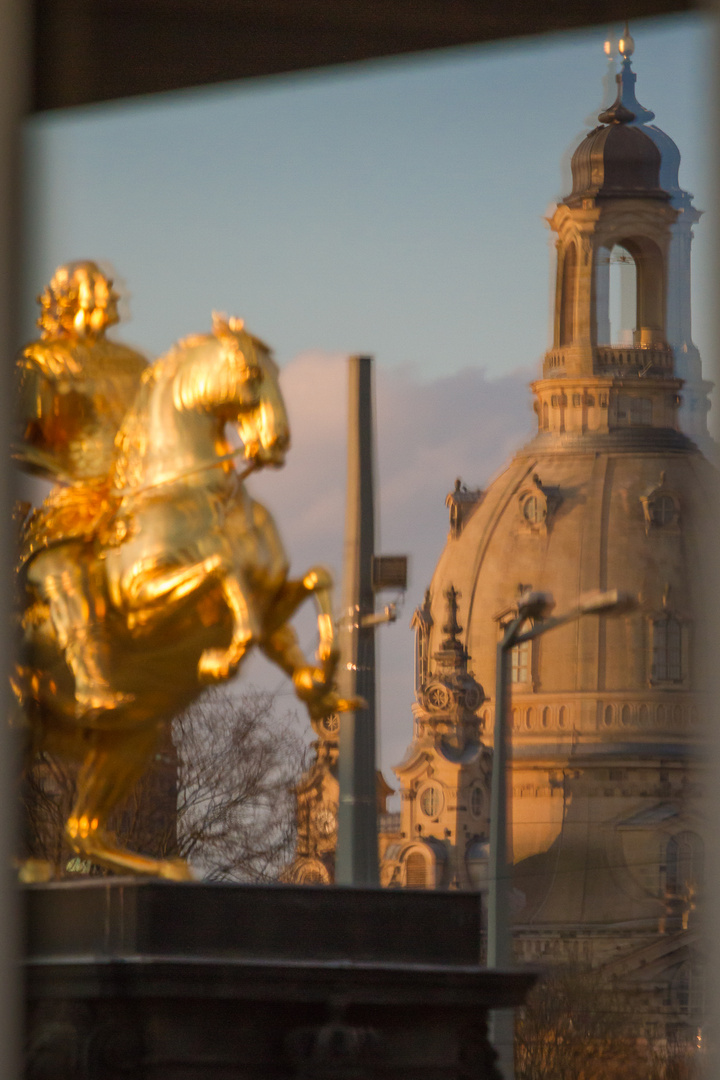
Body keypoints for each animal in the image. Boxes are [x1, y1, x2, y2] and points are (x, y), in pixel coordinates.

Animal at [15, 313, 354, 876]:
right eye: (251, 373)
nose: (279, 441)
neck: (196, 490)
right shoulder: (139, 602)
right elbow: (223, 571)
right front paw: (223, 658)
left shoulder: (271, 597)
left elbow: (316, 581)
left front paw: (320, 679)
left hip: (133, 741)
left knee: (83, 830)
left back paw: (160, 867)